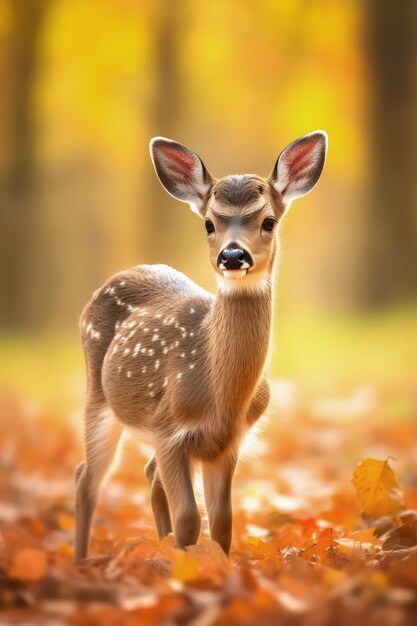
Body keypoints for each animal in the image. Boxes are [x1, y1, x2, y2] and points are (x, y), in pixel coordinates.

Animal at [75, 129, 328, 560]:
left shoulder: (227, 444)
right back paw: (79, 561)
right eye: (209, 223)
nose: (233, 255)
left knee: (145, 474)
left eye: (269, 221)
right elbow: (190, 520)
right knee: (87, 477)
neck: (220, 398)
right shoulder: (168, 431)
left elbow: (223, 521)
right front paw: (186, 568)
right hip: (99, 395)